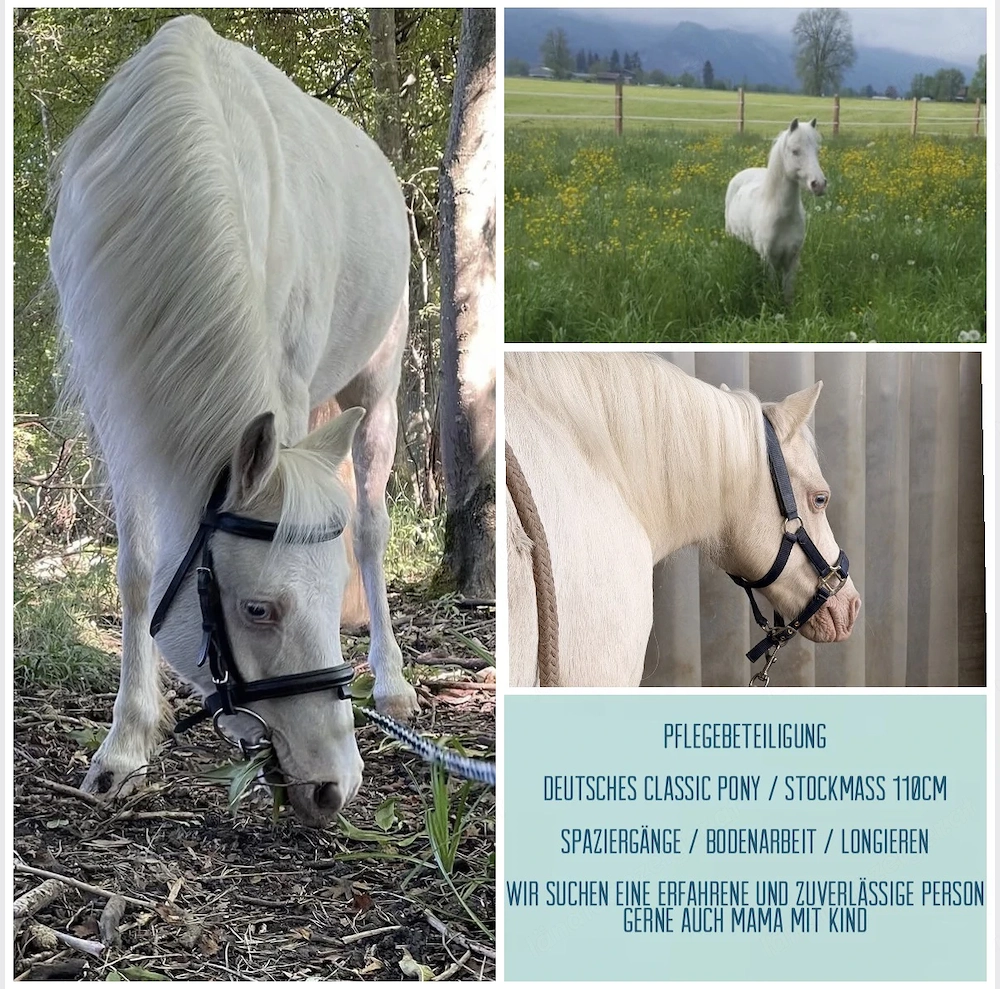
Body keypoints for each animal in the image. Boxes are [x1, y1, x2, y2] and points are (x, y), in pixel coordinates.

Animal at [48, 15, 419, 828]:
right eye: (258, 610)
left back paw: (392, 681)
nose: (337, 785)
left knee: (371, 527)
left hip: (379, 385)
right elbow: (138, 570)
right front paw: (126, 743)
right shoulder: (119, 403)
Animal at [724, 118, 826, 304]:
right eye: (795, 151)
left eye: (817, 150)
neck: (782, 218)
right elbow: (771, 287)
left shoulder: (793, 259)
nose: (819, 185)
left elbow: (788, 292)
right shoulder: (768, 260)